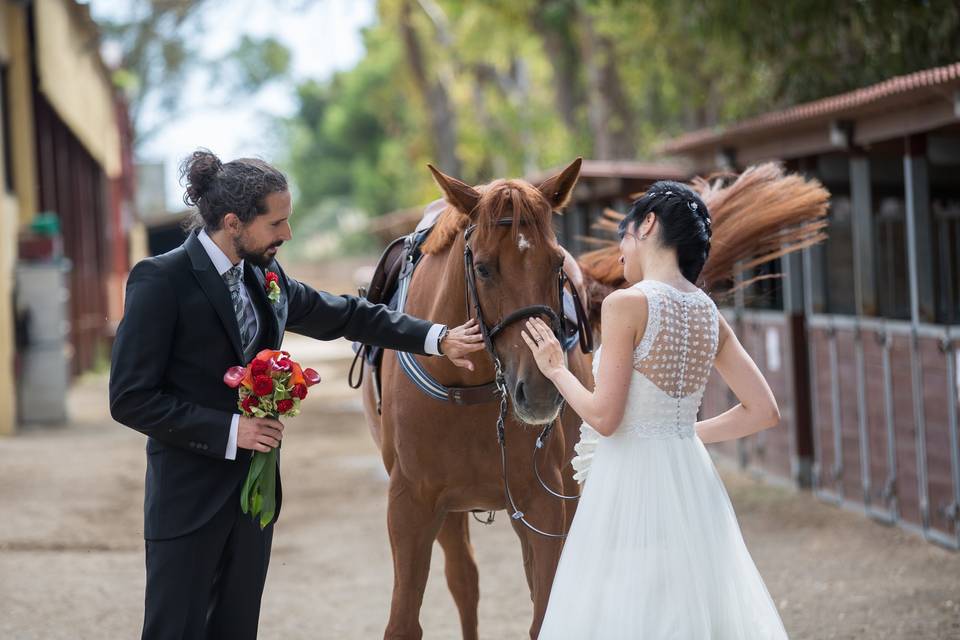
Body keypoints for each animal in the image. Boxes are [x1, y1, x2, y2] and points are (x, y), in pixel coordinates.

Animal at [362, 158, 592, 636]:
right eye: (483, 268)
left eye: (556, 263)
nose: (539, 392)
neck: (465, 389)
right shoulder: (410, 504)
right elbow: (404, 623)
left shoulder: (542, 499)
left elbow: (545, 612)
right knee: (464, 581)